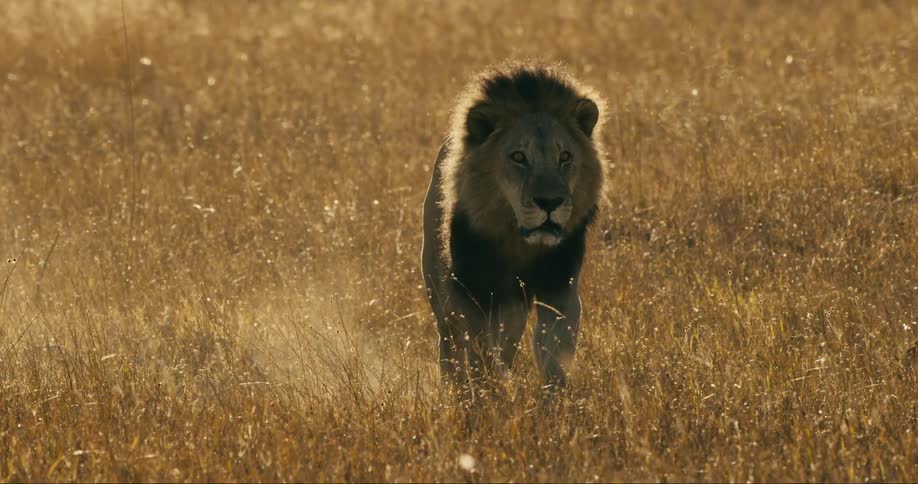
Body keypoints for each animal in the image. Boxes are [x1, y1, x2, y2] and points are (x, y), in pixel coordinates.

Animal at [421, 62, 606, 391]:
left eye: (565, 156)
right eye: (519, 156)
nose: (550, 202)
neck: (519, 242)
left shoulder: (559, 285)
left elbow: (553, 352)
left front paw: (552, 399)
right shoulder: (472, 290)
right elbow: (478, 351)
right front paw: (485, 394)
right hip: (440, 289)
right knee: (450, 344)